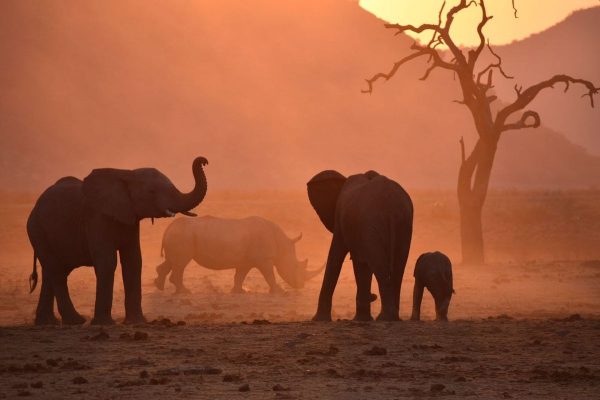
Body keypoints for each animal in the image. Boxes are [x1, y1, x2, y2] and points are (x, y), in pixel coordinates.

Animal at [27, 156, 209, 324]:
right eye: (151, 191)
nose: (204, 161)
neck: (127, 174)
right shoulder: (96, 217)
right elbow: (107, 262)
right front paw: (104, 324)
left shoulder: (130, 218)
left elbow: (133, 261)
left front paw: (136, 322)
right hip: (38, 231)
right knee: (56, 271)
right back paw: (76, 321)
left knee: (52, 272)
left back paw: (47, 322)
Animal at [155, 216, 324, 294]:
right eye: (296, 266)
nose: (301, 286)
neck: (282, 246)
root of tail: (168, 228)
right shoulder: (264, 259)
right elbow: (269, 274)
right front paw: (279, 291)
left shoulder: (246, 260)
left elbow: (240, 275)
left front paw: (239, 291)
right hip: (183, 235)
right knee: (180, 264)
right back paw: (184, 292)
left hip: (179, 235)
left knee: (171, 261)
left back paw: (160, 287)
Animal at [310, 170, 412, 322]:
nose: (373, 296)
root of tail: (391, 205)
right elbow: (362, 263)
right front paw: (362, 319)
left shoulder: (341, 218)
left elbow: (336, 257)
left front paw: (318, 320)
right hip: (403, 224)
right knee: (398, 266)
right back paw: (392, 318)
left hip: (375, 222)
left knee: (379, 265)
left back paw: (385, 318)